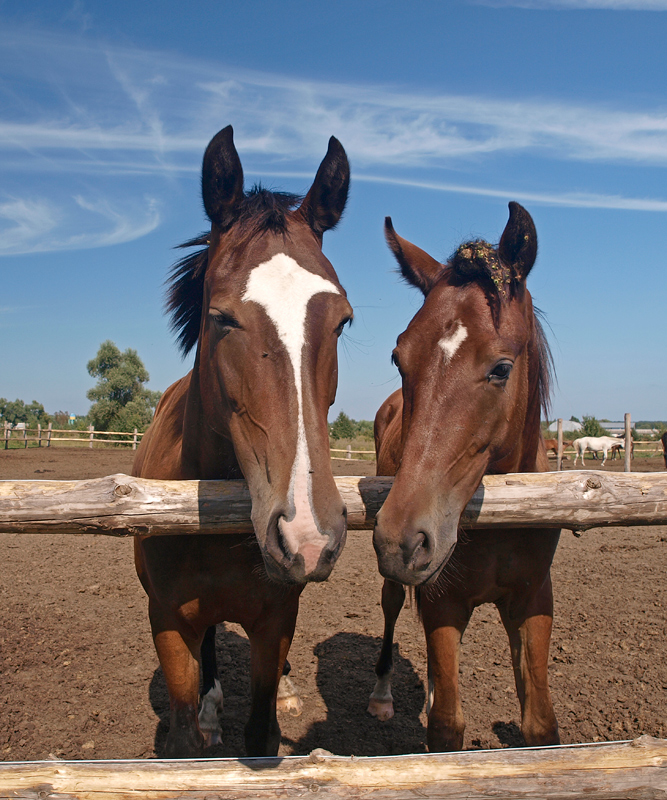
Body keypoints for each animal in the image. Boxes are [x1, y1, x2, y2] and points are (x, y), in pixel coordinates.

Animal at [130, 123, 352, 756]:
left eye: (343, 320)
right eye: (221, 318)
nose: (307, 534)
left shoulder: (275, 620)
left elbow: (261, 733)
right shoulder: (169, 622)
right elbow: (185, 738)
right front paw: (202, 719)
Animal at [368, 203, 560, 752]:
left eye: (501, 368)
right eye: (399, 358)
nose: (402, 541)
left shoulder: (532, 600)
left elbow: (539, 725)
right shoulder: (443, 601)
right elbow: (447, 729)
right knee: (392, 606)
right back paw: (383, 695)